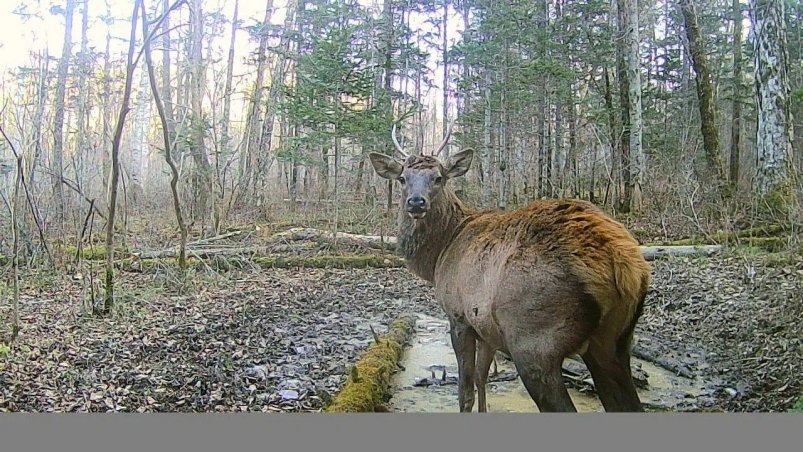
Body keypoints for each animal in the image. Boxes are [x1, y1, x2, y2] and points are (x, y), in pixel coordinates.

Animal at [368, 123, 651, 413]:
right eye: (403, 178)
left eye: (439, 177)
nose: (416, 202)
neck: (440, 253)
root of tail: (624, 263)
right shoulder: (486, 328)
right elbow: (482, 378)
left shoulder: (458, 316)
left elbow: (465, 392)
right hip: (615, 342)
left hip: (534, 340)